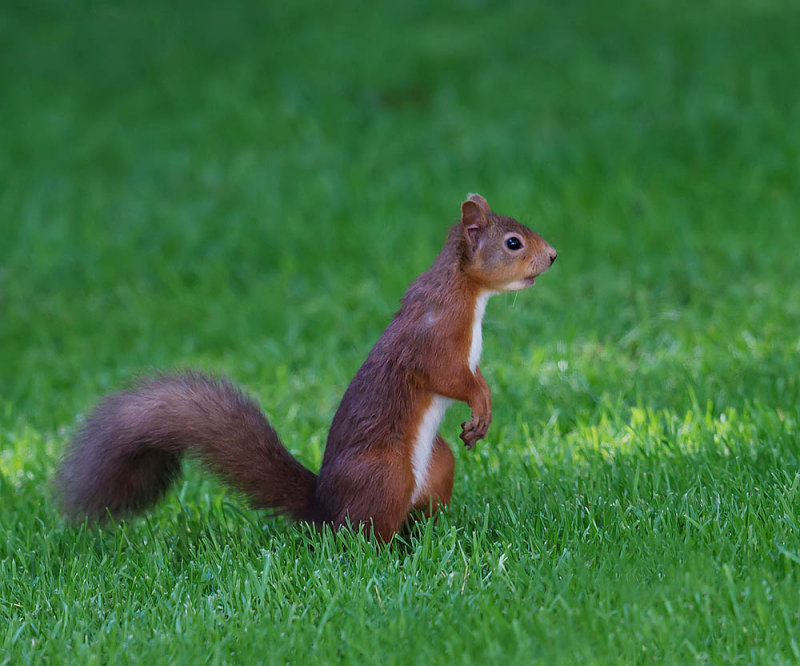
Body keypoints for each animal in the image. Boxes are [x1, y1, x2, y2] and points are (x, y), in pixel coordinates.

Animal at [56, 192, 556, 540]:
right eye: (513, 243)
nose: (552, 256)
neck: (466, 293)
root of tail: (323, 509)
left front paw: (483, 411)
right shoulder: (432, 340)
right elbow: (452, 377)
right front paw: (481, 405)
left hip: (438, 463)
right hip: (384, 473)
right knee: (366, 535)